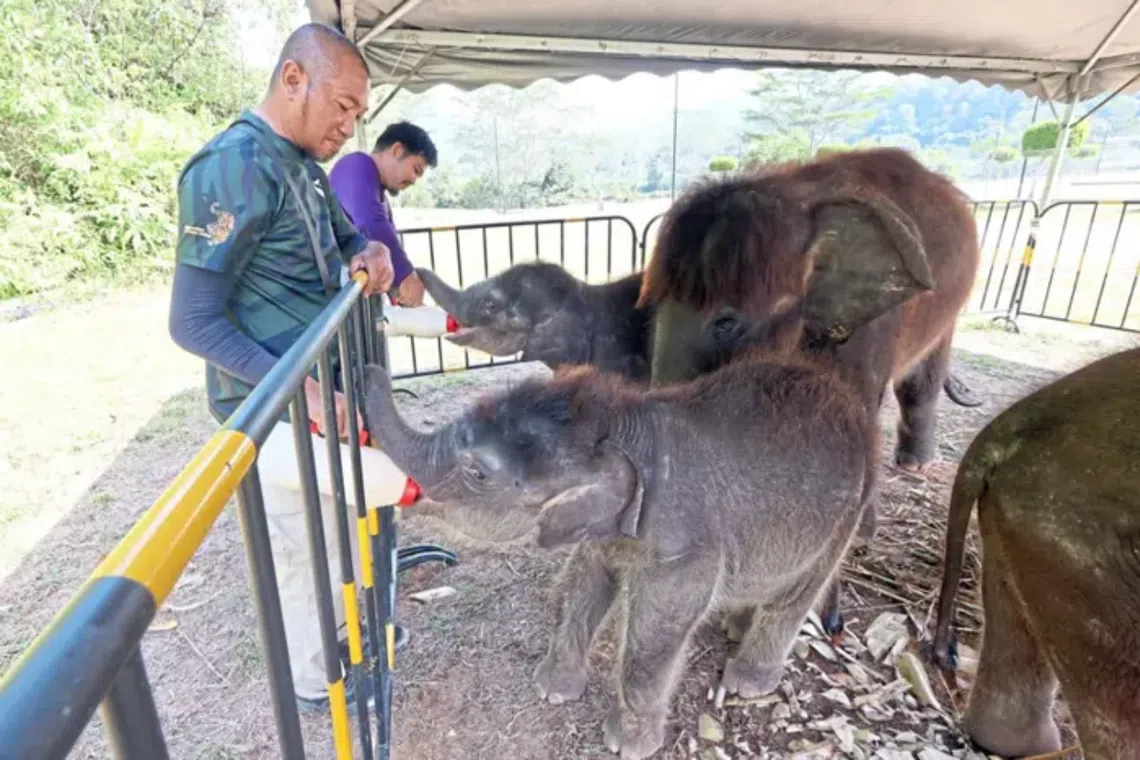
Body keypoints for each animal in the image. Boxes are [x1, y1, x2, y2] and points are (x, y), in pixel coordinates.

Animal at [362, 347, 875, 759]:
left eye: (479, 473)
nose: (368, 366)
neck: (624, 425)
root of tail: (852, 401)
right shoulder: (604, 530)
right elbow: (582, 584)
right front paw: (552, 691)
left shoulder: (685, 547)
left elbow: (655, 631)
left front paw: (626, 745)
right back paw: (734, 625)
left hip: (844, 519)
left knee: (796, 598)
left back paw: (746, 682)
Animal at [636, 147, 983, 634]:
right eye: (652, 309)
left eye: (726, 322)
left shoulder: (871, 333)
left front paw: (822, 614)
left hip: (948, 313)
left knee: (921, 383)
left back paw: (910, 470)